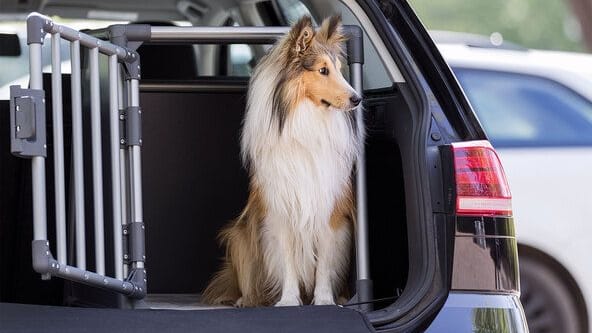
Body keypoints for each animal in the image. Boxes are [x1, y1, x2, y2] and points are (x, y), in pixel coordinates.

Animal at [202, 15, 360, 306]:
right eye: (322, 70)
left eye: (339, 69)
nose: (358, 99)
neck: (305, 120)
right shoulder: (279, 208)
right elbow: (287, 260)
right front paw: (288, 300)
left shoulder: (329, 209)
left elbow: (324, 263)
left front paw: (324, 300)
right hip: (239, 236)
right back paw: (246, 300)